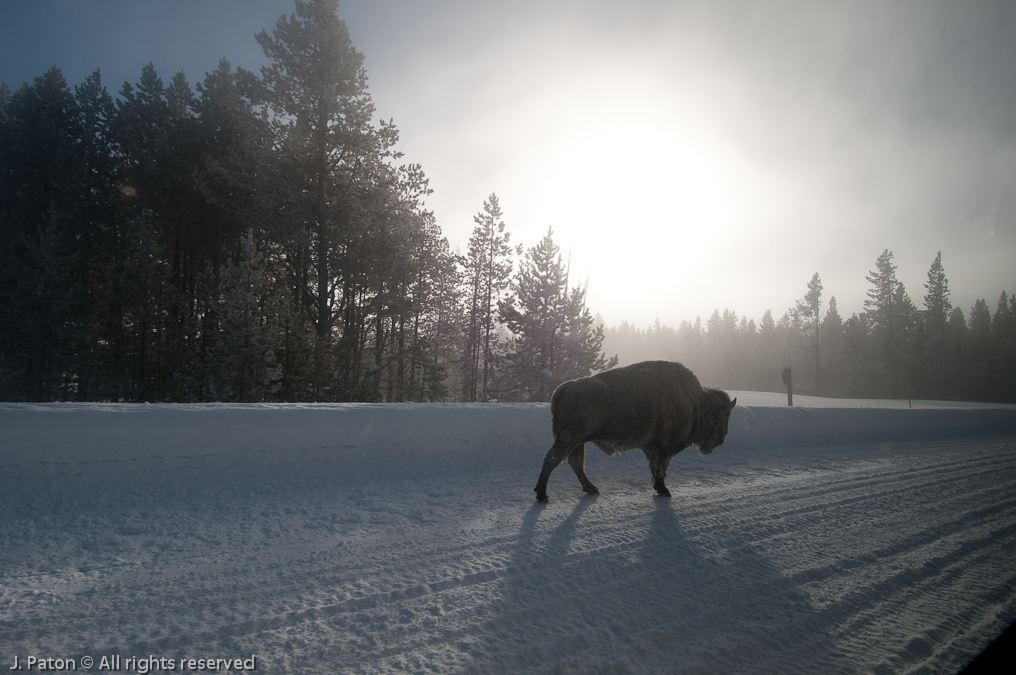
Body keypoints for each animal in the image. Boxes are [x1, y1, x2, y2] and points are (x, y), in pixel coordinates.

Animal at [534, 361, 736, 502]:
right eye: (723, 417)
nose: (721, 439)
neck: (694, 403)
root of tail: (563, 388)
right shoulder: (663, 448)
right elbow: (660, 469)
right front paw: (664, 490)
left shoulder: (654, 449)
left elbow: (657, 468)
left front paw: (660, 488)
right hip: (569, 439)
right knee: (553, 459)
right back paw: (542, 495)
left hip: (578, 441)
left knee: (575, 463)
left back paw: (590, 488)